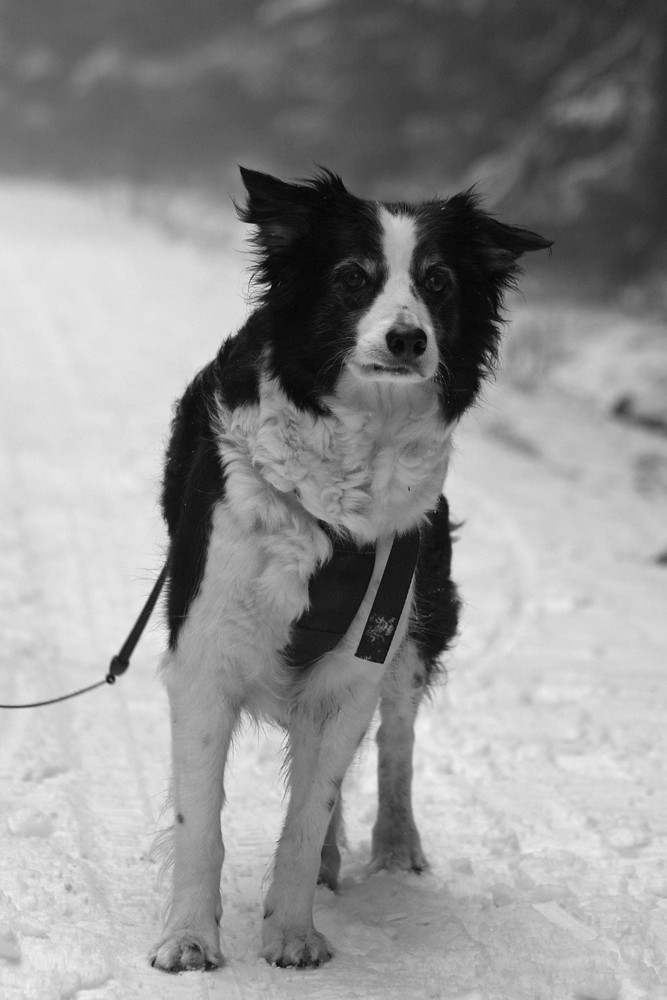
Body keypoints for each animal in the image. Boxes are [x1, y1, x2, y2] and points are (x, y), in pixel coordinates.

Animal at [151, 168, 552, 972]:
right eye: (352, 277)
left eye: (437, 282)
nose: (407, 338)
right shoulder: (207, 650)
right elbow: (200, 818)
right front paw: (189, 938)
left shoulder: (358, 658)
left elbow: (312, 810)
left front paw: (292, 932)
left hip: (418, 622)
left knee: (393, 741)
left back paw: (393, 847)